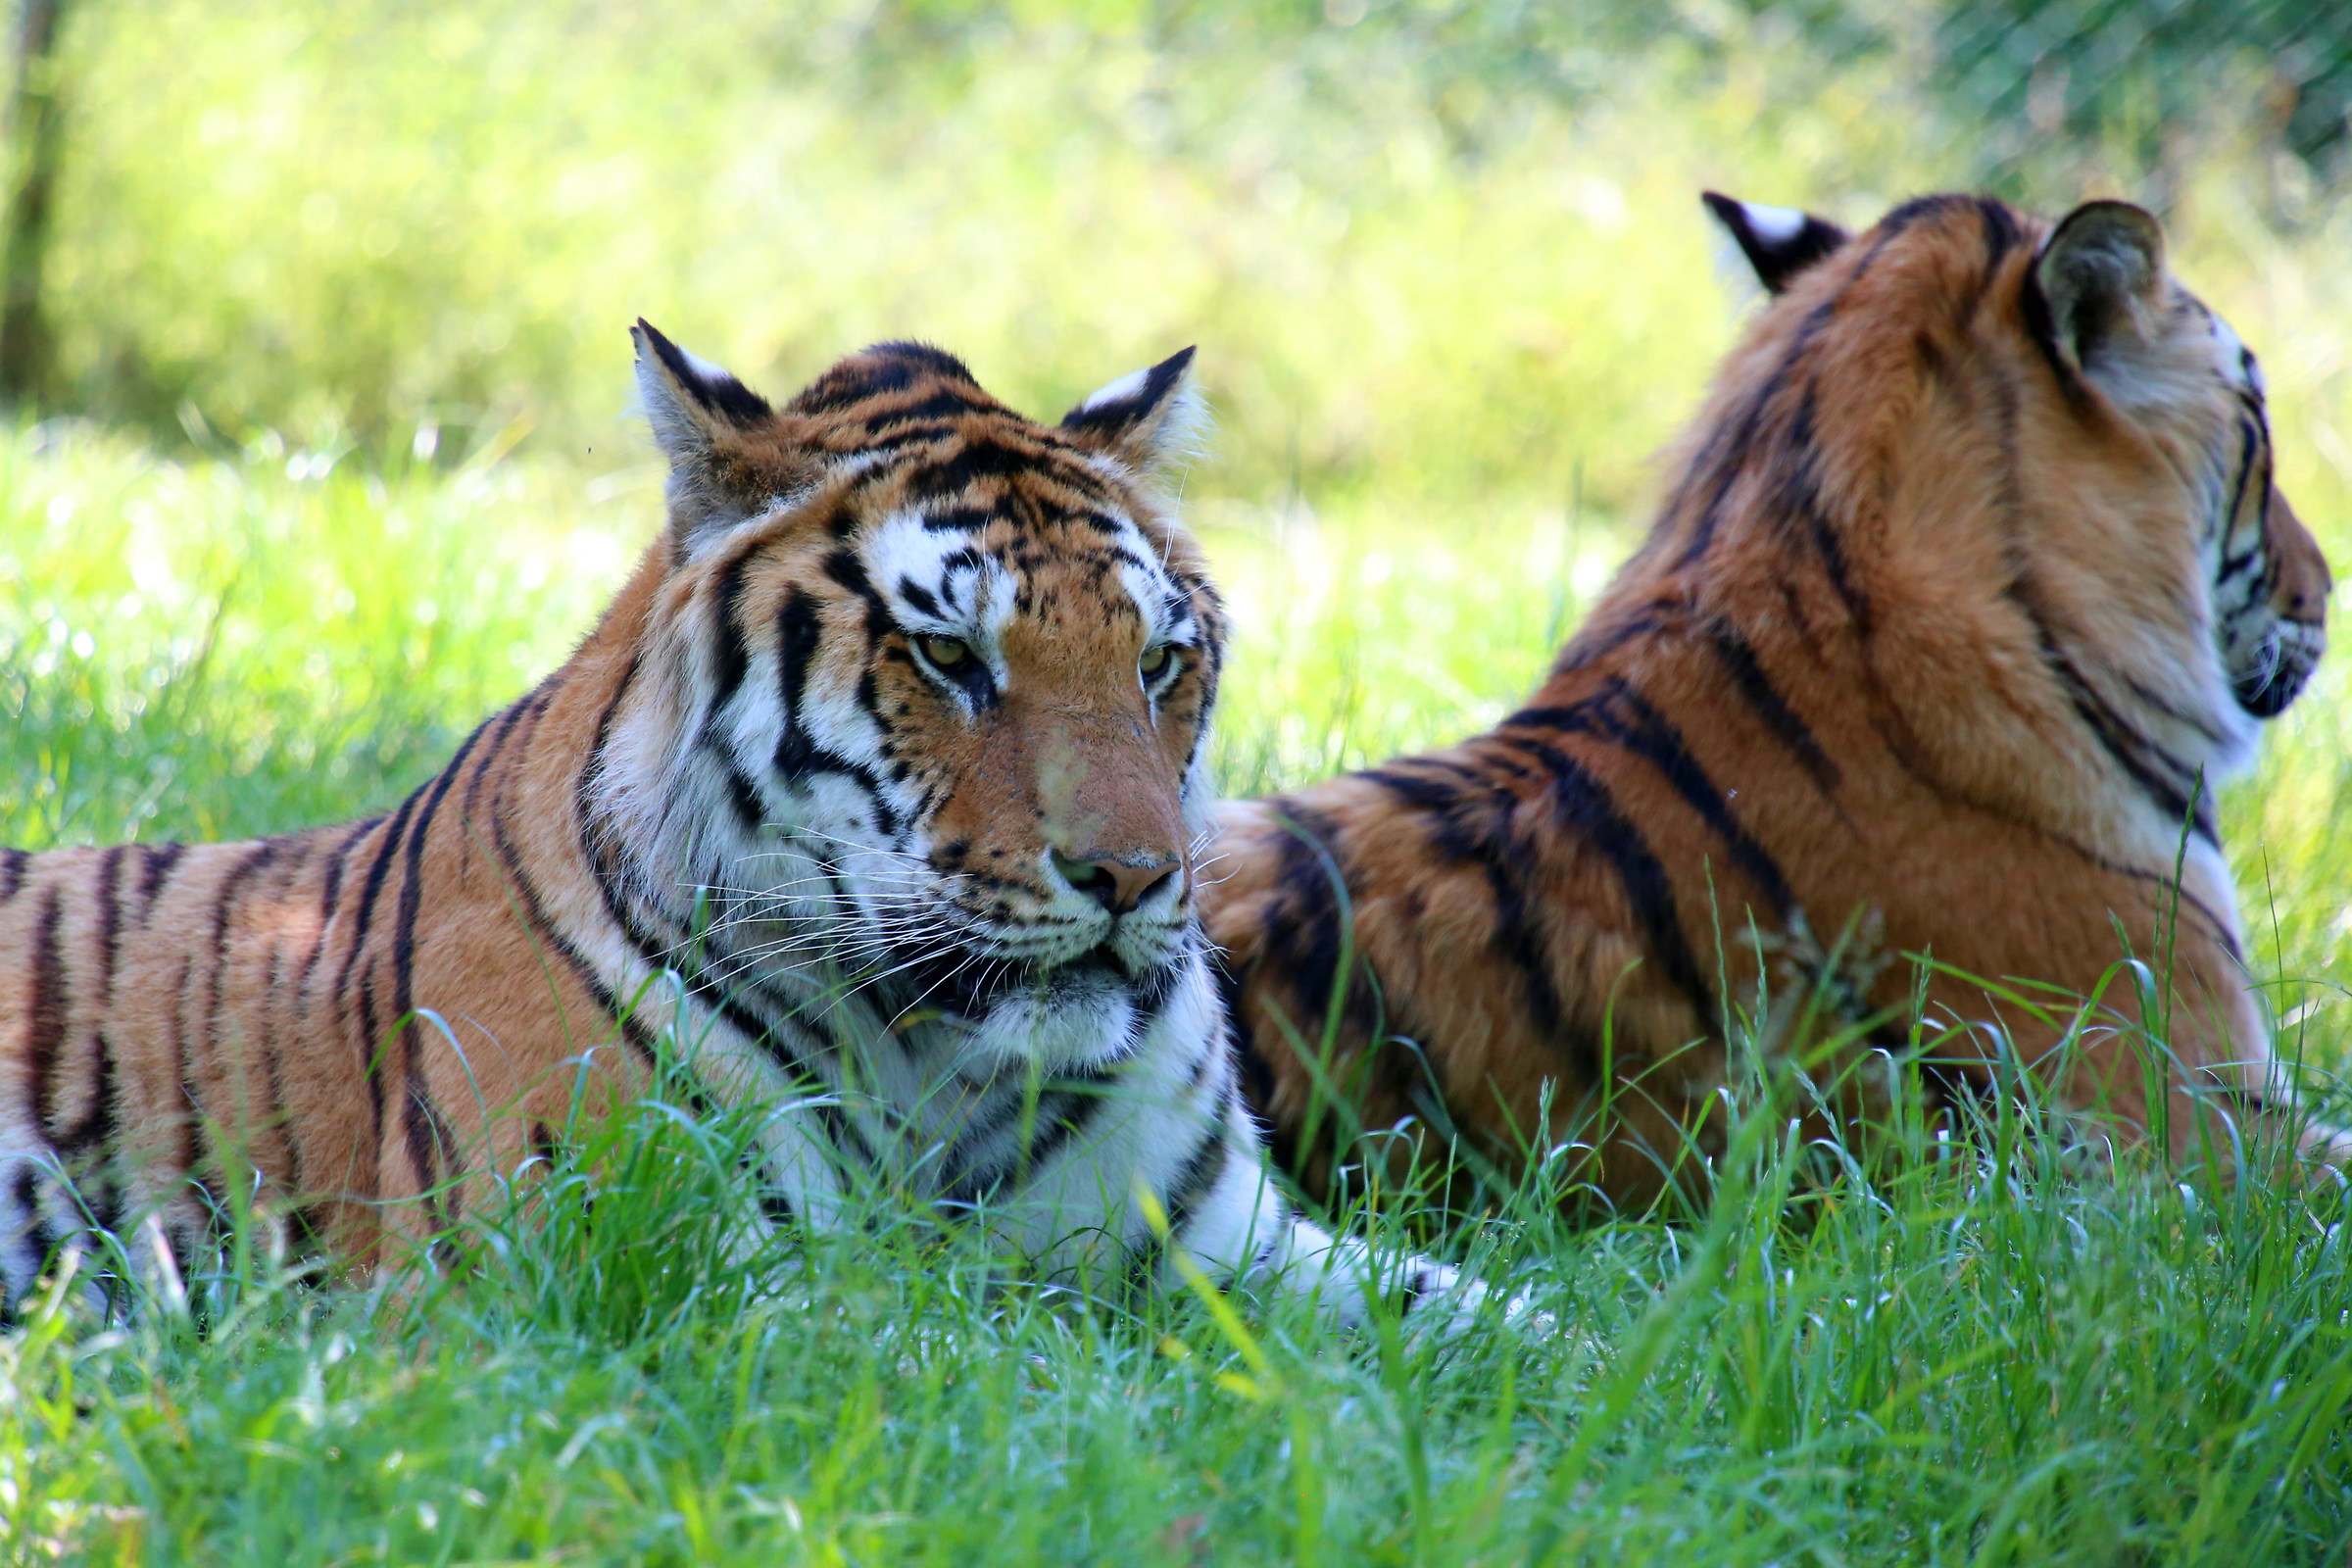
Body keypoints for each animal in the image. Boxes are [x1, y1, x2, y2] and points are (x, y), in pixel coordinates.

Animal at [0, 326, 1512, 1333]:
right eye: (949, 656)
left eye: (1157, 664)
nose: (1136, 878)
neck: (940, 1059)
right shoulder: (612, 1278)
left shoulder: (1229, 1237)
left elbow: (1524, 1324)